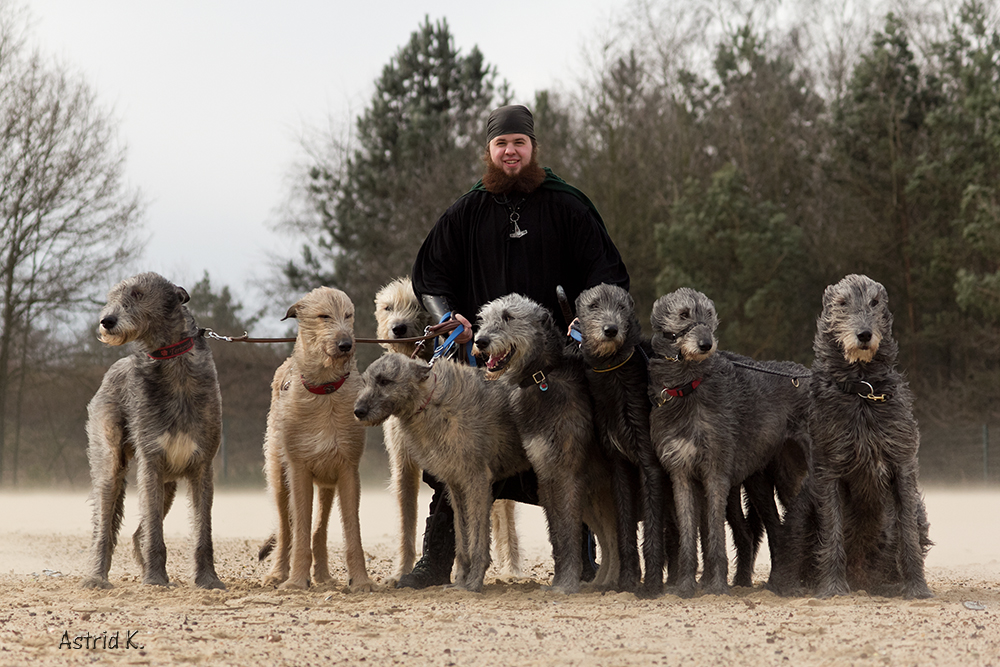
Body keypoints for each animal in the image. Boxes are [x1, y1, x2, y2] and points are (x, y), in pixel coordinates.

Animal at [82, 272, 225, 588]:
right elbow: (154, 532)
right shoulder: (151, 462)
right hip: (110, 463)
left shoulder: (203, 465)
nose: (106, 321)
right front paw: (155, 579)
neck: (173, 361)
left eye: (137, 293)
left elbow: (203, 530)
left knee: (139, 532)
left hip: (168, 484)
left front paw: (208, 580)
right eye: (112, 296)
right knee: (104, 527)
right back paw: (97, 576)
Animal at [352, 358, 532, 592]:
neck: (431, 402)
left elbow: (478, 539)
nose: (358, 411)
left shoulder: (478, 482)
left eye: (384, 381)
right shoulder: (456, 485)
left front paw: (474, 582)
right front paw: (461, 580)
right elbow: (462, 537)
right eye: (365, 382)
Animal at [474, 294, 616, 592]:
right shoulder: (548, 474)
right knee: (612, 539)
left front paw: (566, 584)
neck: (542, 376)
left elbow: (568, 530)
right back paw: (606, 582)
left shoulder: (566, 475)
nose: (480, 341)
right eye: (483, 319)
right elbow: (558, 533)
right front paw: (562, 580)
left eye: (508, 316)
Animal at [648, 288, 812, 600]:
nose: (706, 344)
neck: (689, 387)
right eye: (684, 314)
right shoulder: (681, 473)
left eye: (709, 314)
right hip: (774, 480)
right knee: (775, 529)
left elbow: (714, 537)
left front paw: (716, 586)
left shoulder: (716, 473)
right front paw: (685, 585)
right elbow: (689, 535)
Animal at [784, 274, 932, 596]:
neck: (863, 390)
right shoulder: (829, 470)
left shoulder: (902, 463)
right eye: (842, 303)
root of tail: (863, 578)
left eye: (874, 302)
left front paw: (917, 588)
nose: (864, 335)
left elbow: (907, 533)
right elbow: (832, 530)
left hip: (918, 511)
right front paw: (832, 588)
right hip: (802, 509)